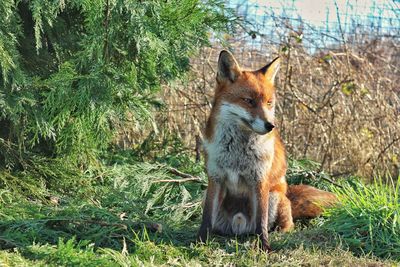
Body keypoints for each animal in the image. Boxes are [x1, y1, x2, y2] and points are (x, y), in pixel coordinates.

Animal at [198, 50, 338, 253]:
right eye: (249, 101)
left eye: (269, 102)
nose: (270, 125)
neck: (237, 151)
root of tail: (239, 228)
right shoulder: (215, 177)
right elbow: (206, 217)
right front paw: (200, 240)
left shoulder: (260, 180)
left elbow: (261, 222)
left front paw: (264, 247)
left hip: (275, 197)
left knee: (285, 225)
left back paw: (279, 233)